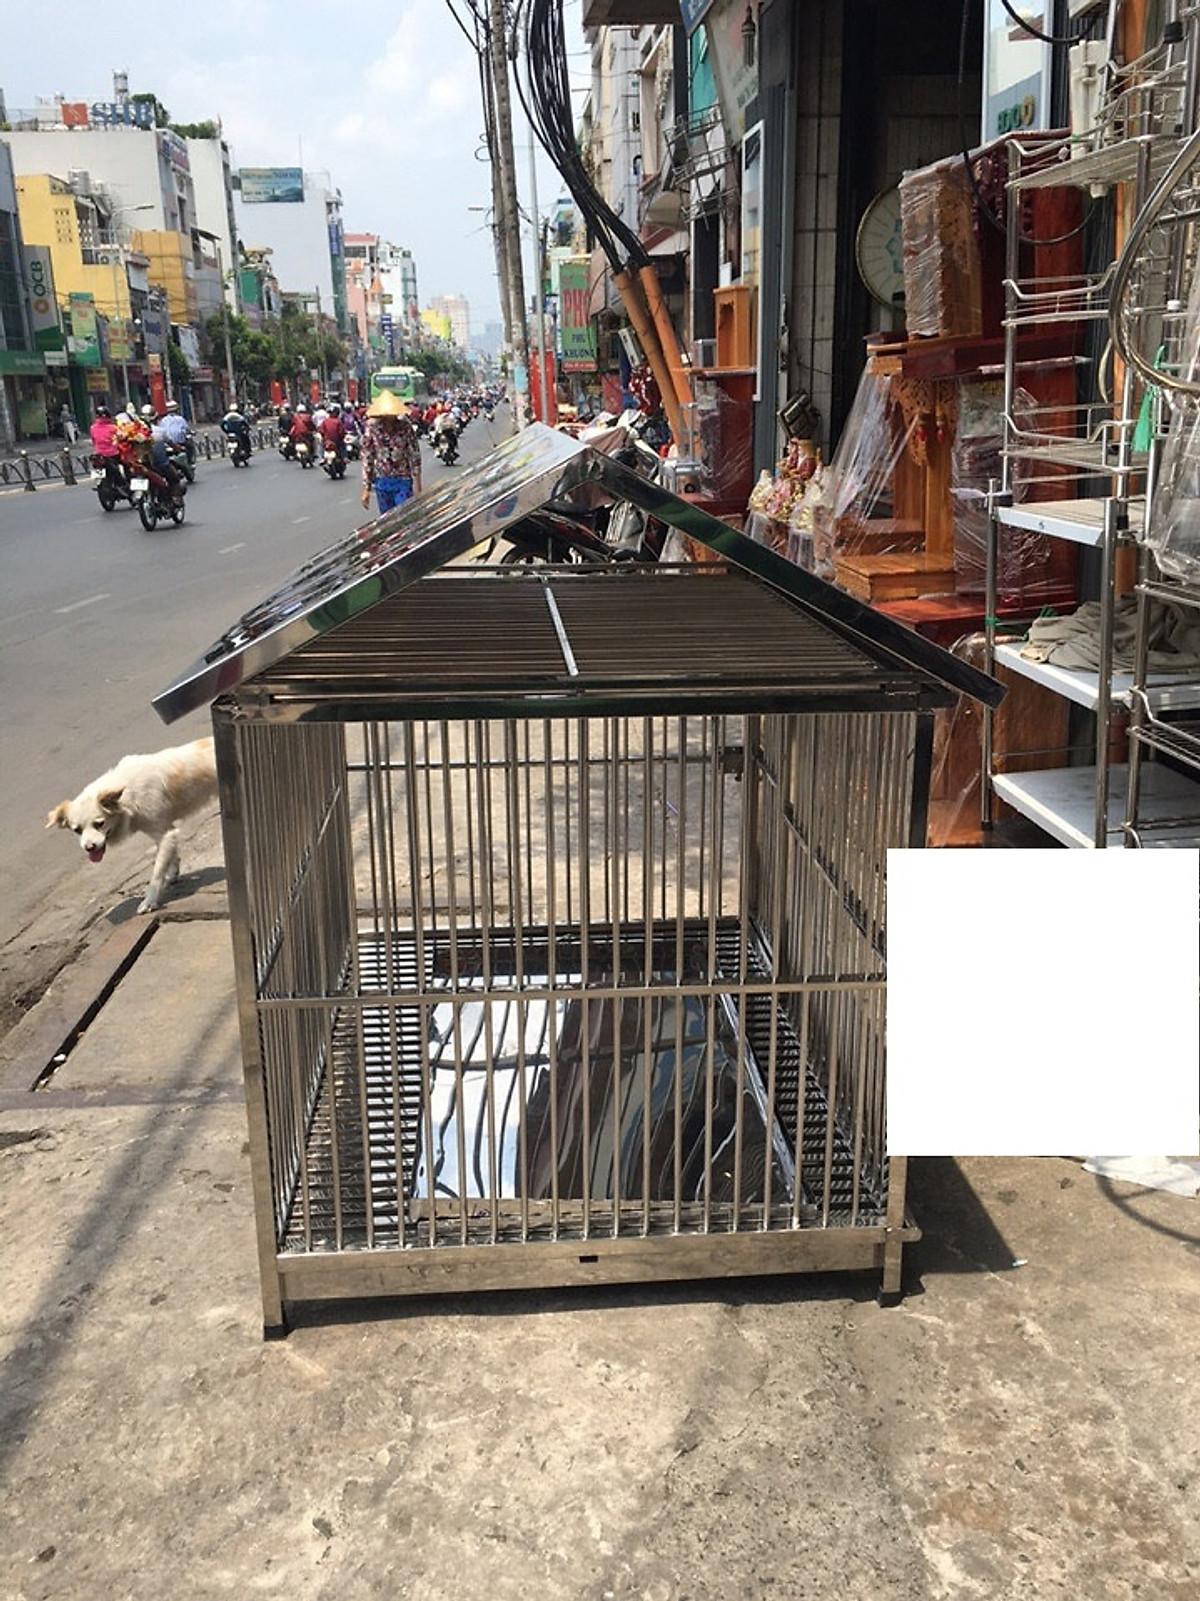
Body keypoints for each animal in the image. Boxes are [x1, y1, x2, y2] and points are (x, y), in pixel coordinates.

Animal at [46, 736, 219, 913]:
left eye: (100, 824)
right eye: (77, 830)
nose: (89, 848)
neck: (125, 795)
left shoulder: (164, 833)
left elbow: (156, 872)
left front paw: (150, 900)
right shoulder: (167, 832)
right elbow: (171, 857)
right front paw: (172, 874)